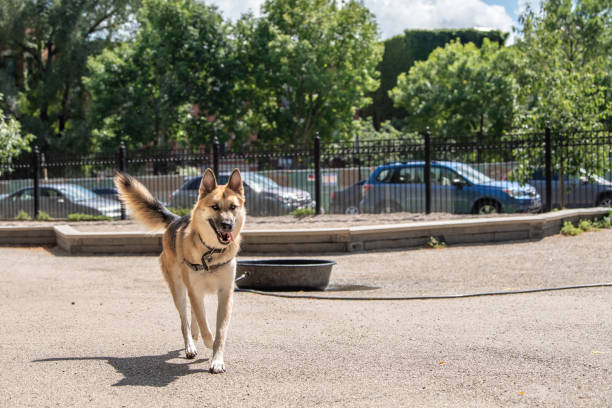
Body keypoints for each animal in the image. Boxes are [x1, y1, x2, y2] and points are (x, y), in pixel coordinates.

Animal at [115, 167, 246, 372]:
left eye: (233, 207)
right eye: (215, 207)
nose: (227, 225)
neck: (210, 251)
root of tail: (175, 219)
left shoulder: (225, 294)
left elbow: (220, 331)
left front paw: (217, 359)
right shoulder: (194, 291)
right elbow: (205, 325)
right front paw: (209, 343)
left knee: (194, 316)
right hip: (179, 291)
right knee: (185, 321)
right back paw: (190, 346)